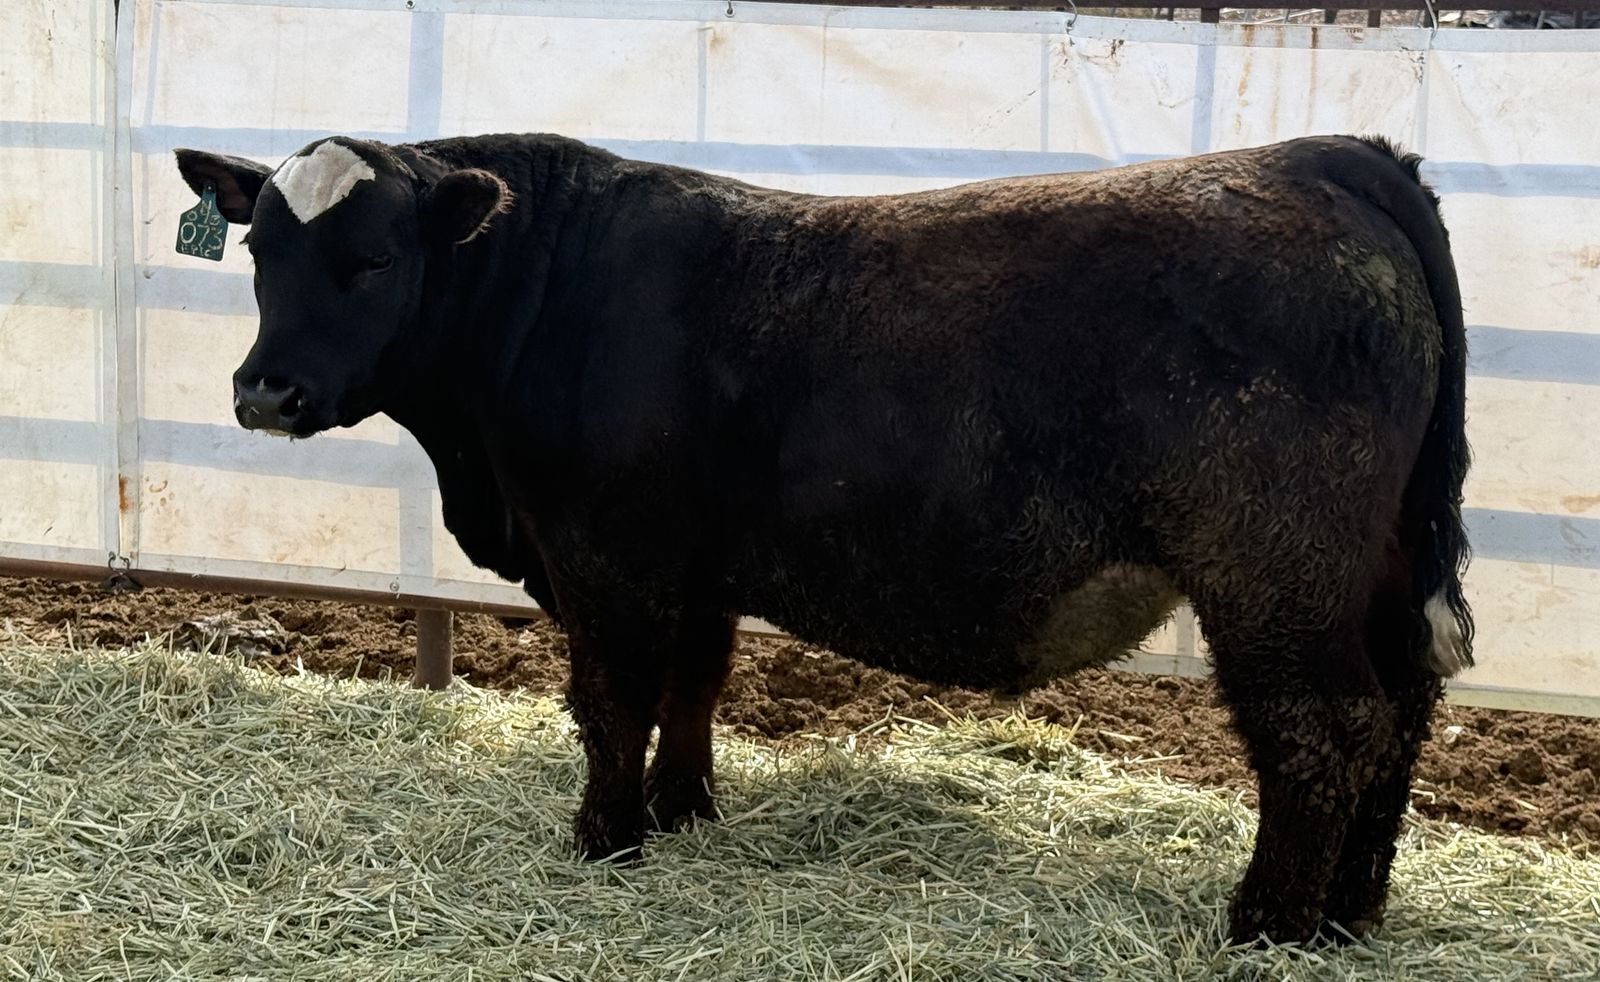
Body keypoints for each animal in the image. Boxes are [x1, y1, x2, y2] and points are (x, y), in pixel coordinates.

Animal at [174, 132, 1472, 945]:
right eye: (260, 252)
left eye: (373, 257)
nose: (264, 390)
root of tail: (1327, 157)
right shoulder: (693, 561)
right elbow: (693, 685)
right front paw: (682, 808)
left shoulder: (605, 555)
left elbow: (611, 698)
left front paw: (605, 836)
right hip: (1376, 570)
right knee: (1401, 711)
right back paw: (1351, 913)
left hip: (1271, 571)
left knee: (1322, 729)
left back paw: (1267, 926)